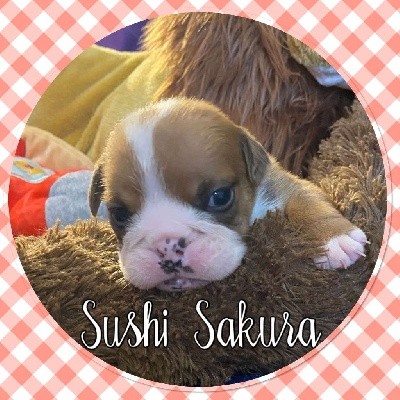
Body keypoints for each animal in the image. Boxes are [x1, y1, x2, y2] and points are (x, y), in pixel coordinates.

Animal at [89, 98, 367, 292]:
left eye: (220, 197)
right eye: (120, 214)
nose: (166, 246)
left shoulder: (286, 185)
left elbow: (307, 204)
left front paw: (335, 237)